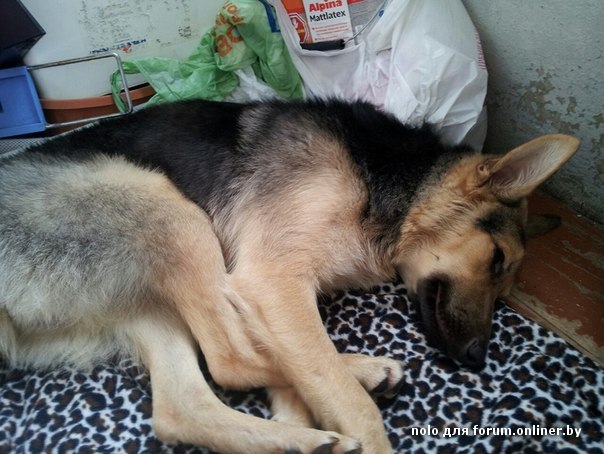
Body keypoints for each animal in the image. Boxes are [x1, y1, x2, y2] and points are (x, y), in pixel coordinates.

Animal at [0, 99, 579, 453]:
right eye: (496, 259)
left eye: (505, 288)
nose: (478, 359)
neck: (390, 181)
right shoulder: (270, 280)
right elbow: (336, 391)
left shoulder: (278, 292)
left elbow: (306, 366)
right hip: (163, 207)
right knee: (230, 360)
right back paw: (355, 380)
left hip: (152, 294)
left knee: (185, 404)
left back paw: (304, 431)